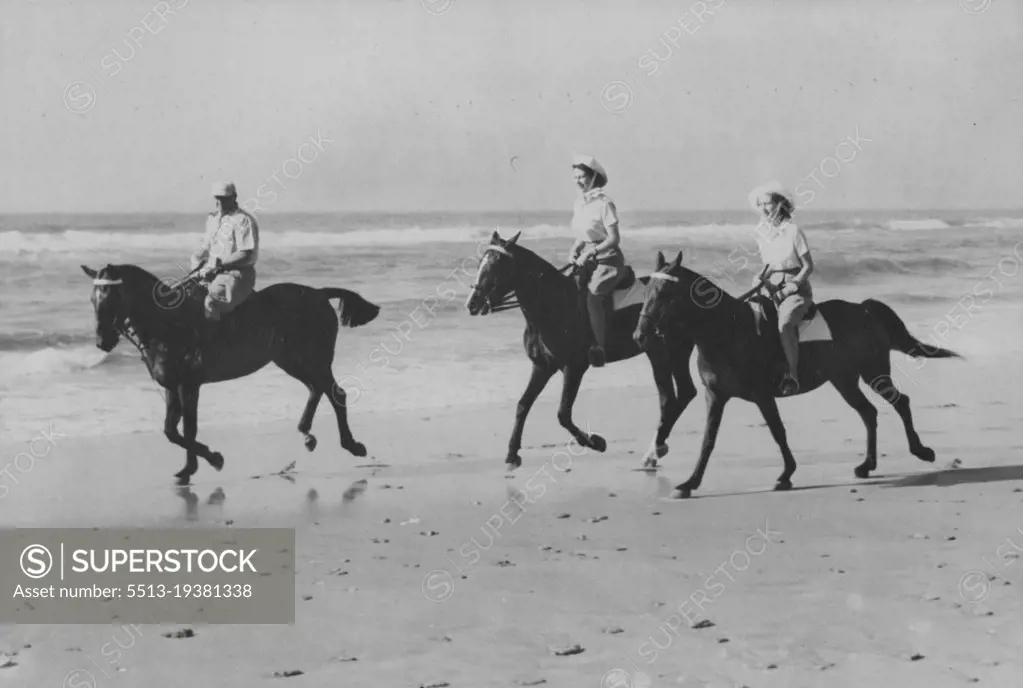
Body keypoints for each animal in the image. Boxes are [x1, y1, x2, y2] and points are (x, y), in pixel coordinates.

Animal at [80, 261, 380, 482]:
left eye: (112, 297)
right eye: (93, 299)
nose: (102, 342)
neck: (167, 322)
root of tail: (319, 293)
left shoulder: (189, 385)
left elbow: (186, 429)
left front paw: (213, 459)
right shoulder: (172, 386)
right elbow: (172, 430)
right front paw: (190, 468)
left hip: (313, 360)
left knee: (336, 393)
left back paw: (352, 445)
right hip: (291, 360)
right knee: (316, 389)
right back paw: (306, 433)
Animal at [462, 231, 695, 466]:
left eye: (496, 264)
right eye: (480, 263)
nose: (472, 303)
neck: (554, 304)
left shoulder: (574, 367)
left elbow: (563, 414)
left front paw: (595, 442)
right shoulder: (543, 366)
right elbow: (523, 404)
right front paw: (512, 453)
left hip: (662, 353)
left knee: (671, 398)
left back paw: (655, 450)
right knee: (681, 394)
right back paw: (656, 449)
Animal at [630, 249, 957, 496]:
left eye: (666, 292)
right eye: (647, 291)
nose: (639, 336)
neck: (728, 331)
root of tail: (864, 309)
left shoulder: (762, 395)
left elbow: (778, 431)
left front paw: (786, 475)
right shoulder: (716, 396)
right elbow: (708, 440)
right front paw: (689, 483)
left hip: (874, 373)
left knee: (900, 402)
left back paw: (922, 451)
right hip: (844, 380)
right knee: (868, 412)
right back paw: (866, 466)